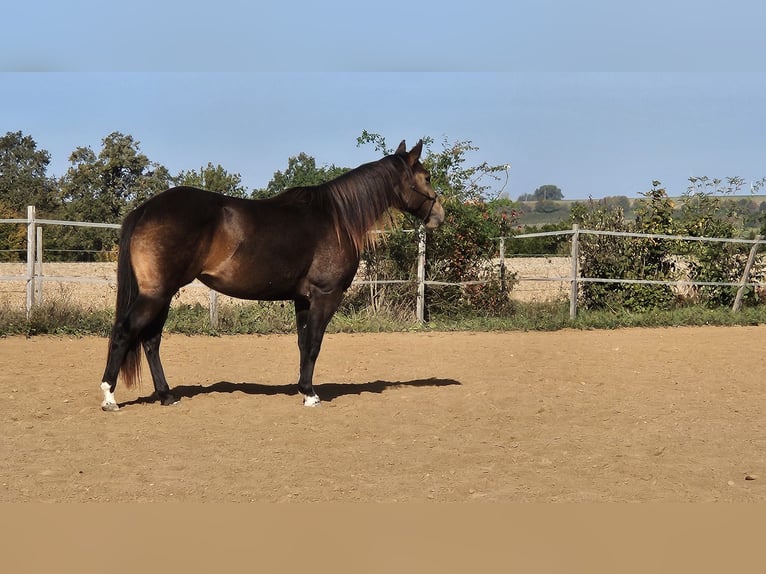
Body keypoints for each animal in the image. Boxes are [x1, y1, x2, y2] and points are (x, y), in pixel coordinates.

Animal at [97, 142, 444, 416]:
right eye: (426, 177)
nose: (439, 215)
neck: (336, 219)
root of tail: (145, 210)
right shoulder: (326, 295)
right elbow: (314, 343)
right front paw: (312, 395)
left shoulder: (303, 298)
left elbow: (303, 343)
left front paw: (304, 389)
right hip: (155, 294)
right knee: (126, 332)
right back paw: (110, 397)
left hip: (163, 294)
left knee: (151, 341)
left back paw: (167, 396)